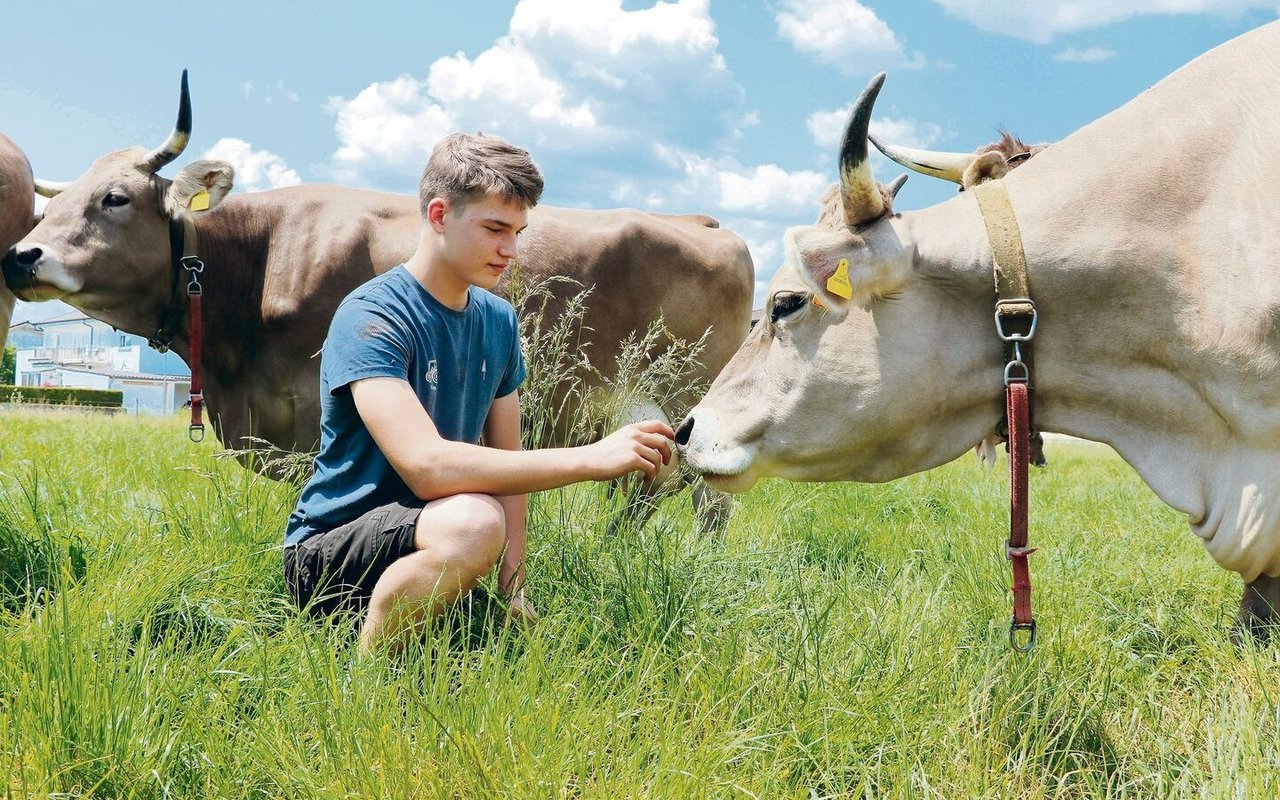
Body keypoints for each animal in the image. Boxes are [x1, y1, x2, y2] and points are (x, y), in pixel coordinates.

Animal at [5, 71, 752, 527]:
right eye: (53, 205)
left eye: (114, 198)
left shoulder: (313, 424)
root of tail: (706, 223)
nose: (20, 257)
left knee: (708, 505)